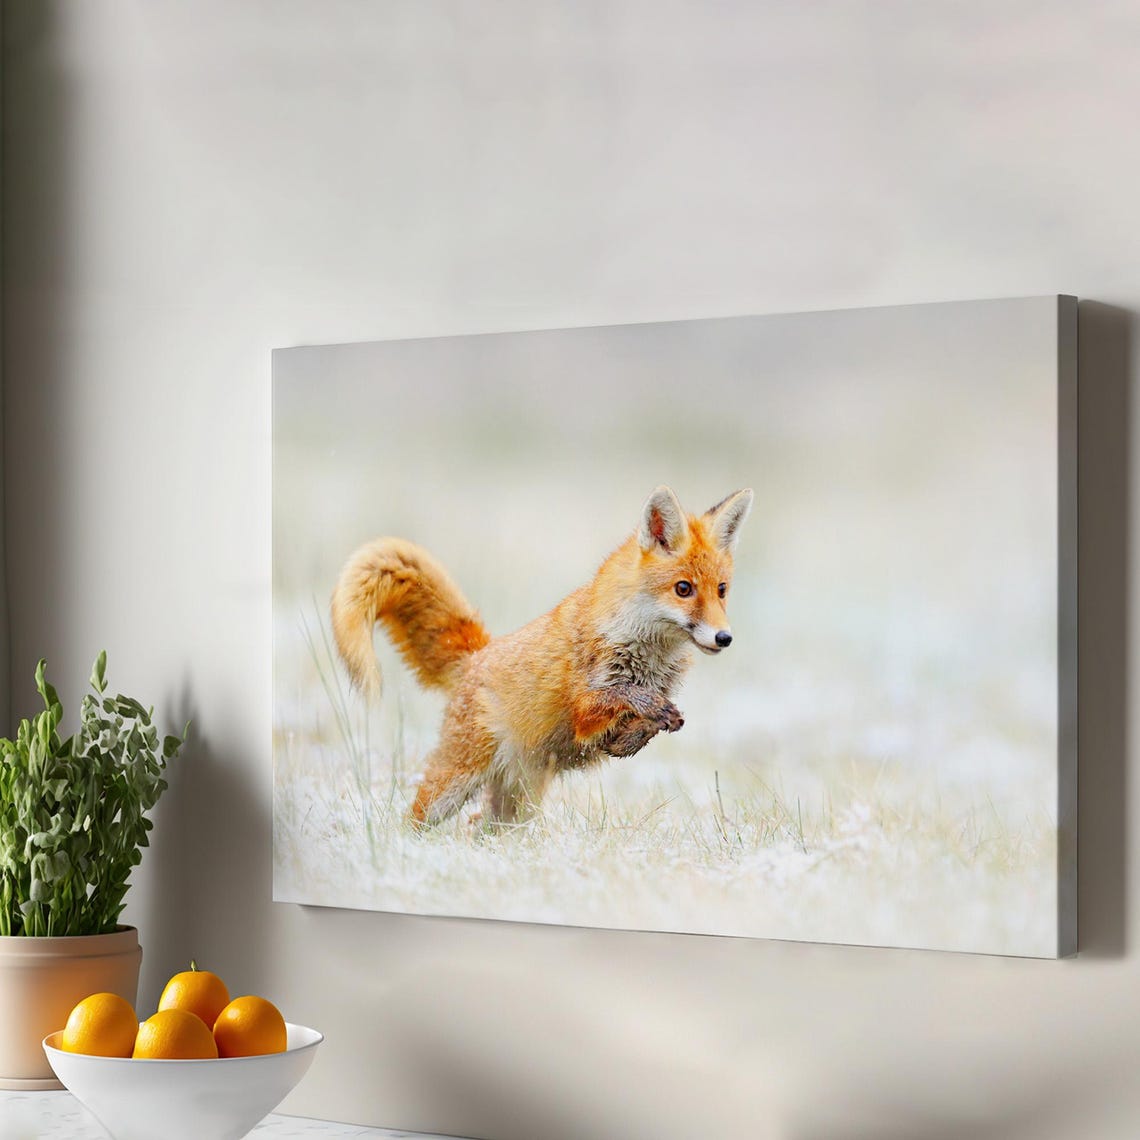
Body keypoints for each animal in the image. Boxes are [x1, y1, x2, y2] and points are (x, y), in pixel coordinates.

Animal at [330, 484, 753, 827]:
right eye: (683, 588)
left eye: (721, 590)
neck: (646, 651)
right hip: (454, 783)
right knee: (414, 820)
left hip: (518, 801)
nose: (724, 637)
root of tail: (478, 654)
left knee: (479, 827)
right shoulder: (585, 708)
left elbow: (646, 722)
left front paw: (637, 736)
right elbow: (619, 695)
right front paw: (645, 711)